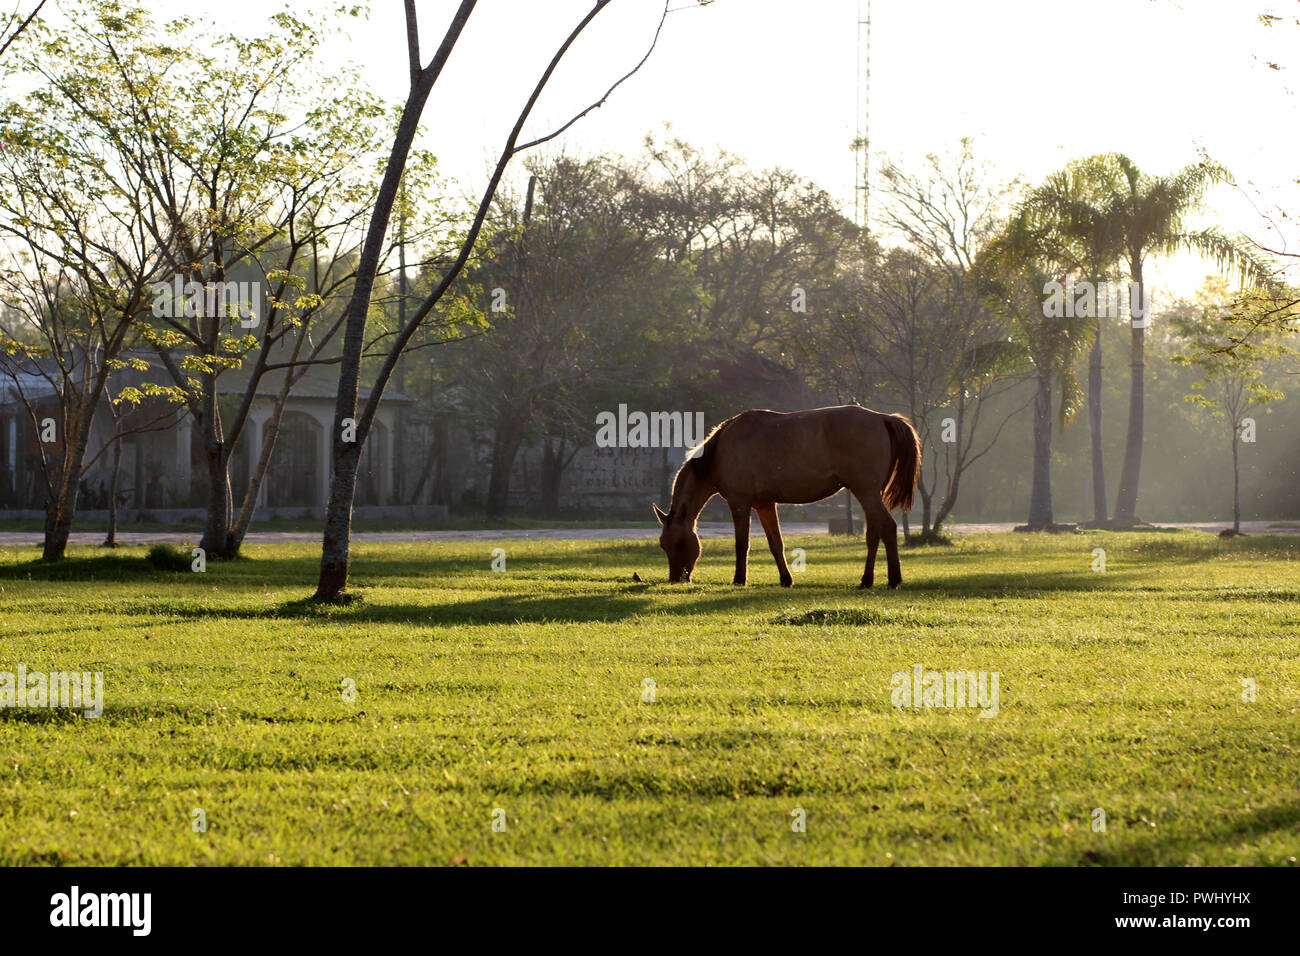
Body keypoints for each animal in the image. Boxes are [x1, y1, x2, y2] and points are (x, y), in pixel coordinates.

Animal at [655, 405, 920, 587]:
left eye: (680, 543)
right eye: (663, 545)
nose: (676, 578)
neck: (720, 451)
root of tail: (882, 418)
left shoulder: (740, 503)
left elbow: (742, 544)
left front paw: (739, 579)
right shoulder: (764, 505)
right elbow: (776, 543)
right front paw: (786, 579)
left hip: (866, 492)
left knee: (887, 528)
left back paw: (894, 579)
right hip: (869, 494)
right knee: (874, 534)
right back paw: (866, 580)